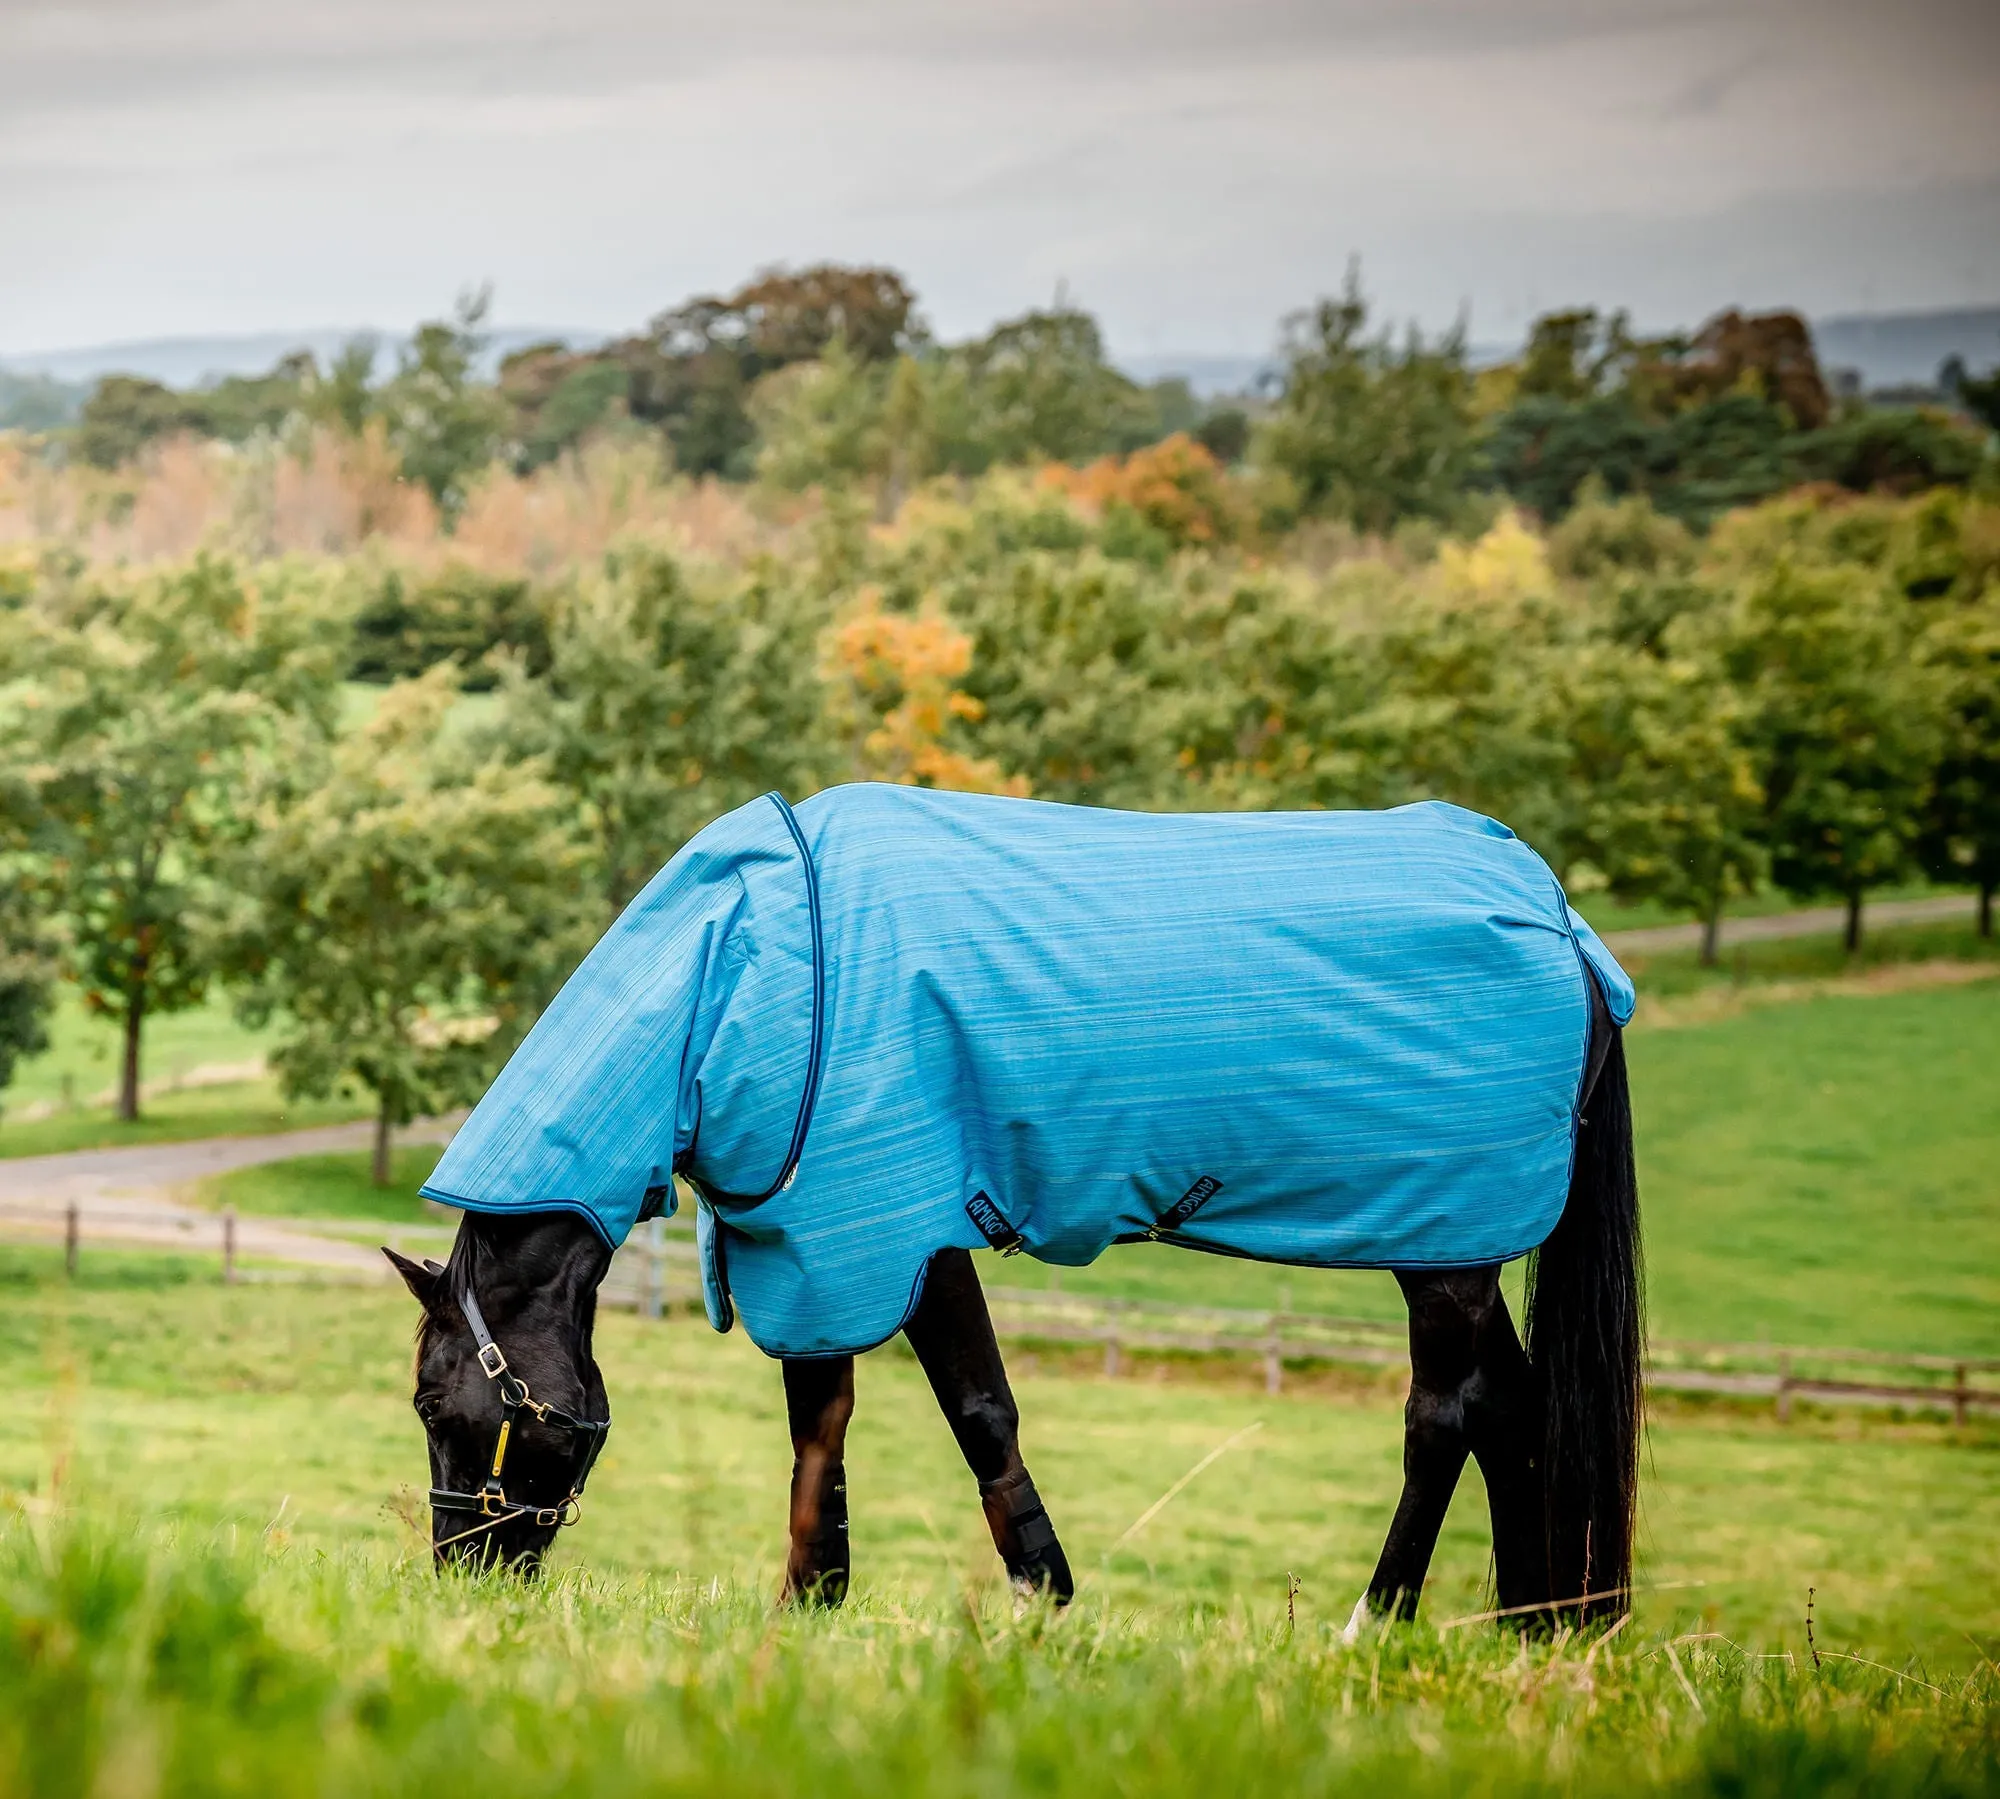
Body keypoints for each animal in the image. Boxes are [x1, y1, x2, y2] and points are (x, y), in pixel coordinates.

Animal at [390, 787, 1640, 1631]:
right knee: (1514, 1410)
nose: (463, 1579)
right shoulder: (813, 1246)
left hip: (1445, 1249)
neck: (748, 972)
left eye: (436, 1403)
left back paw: (1370, 1623)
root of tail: (1566, 931)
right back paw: (1532, 1630)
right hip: (1468, 1235)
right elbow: (823, 1423)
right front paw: (816, 1605)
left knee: (1443, 1417)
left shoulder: (895, 1233)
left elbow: (968, 1412)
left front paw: (1038, 1597)